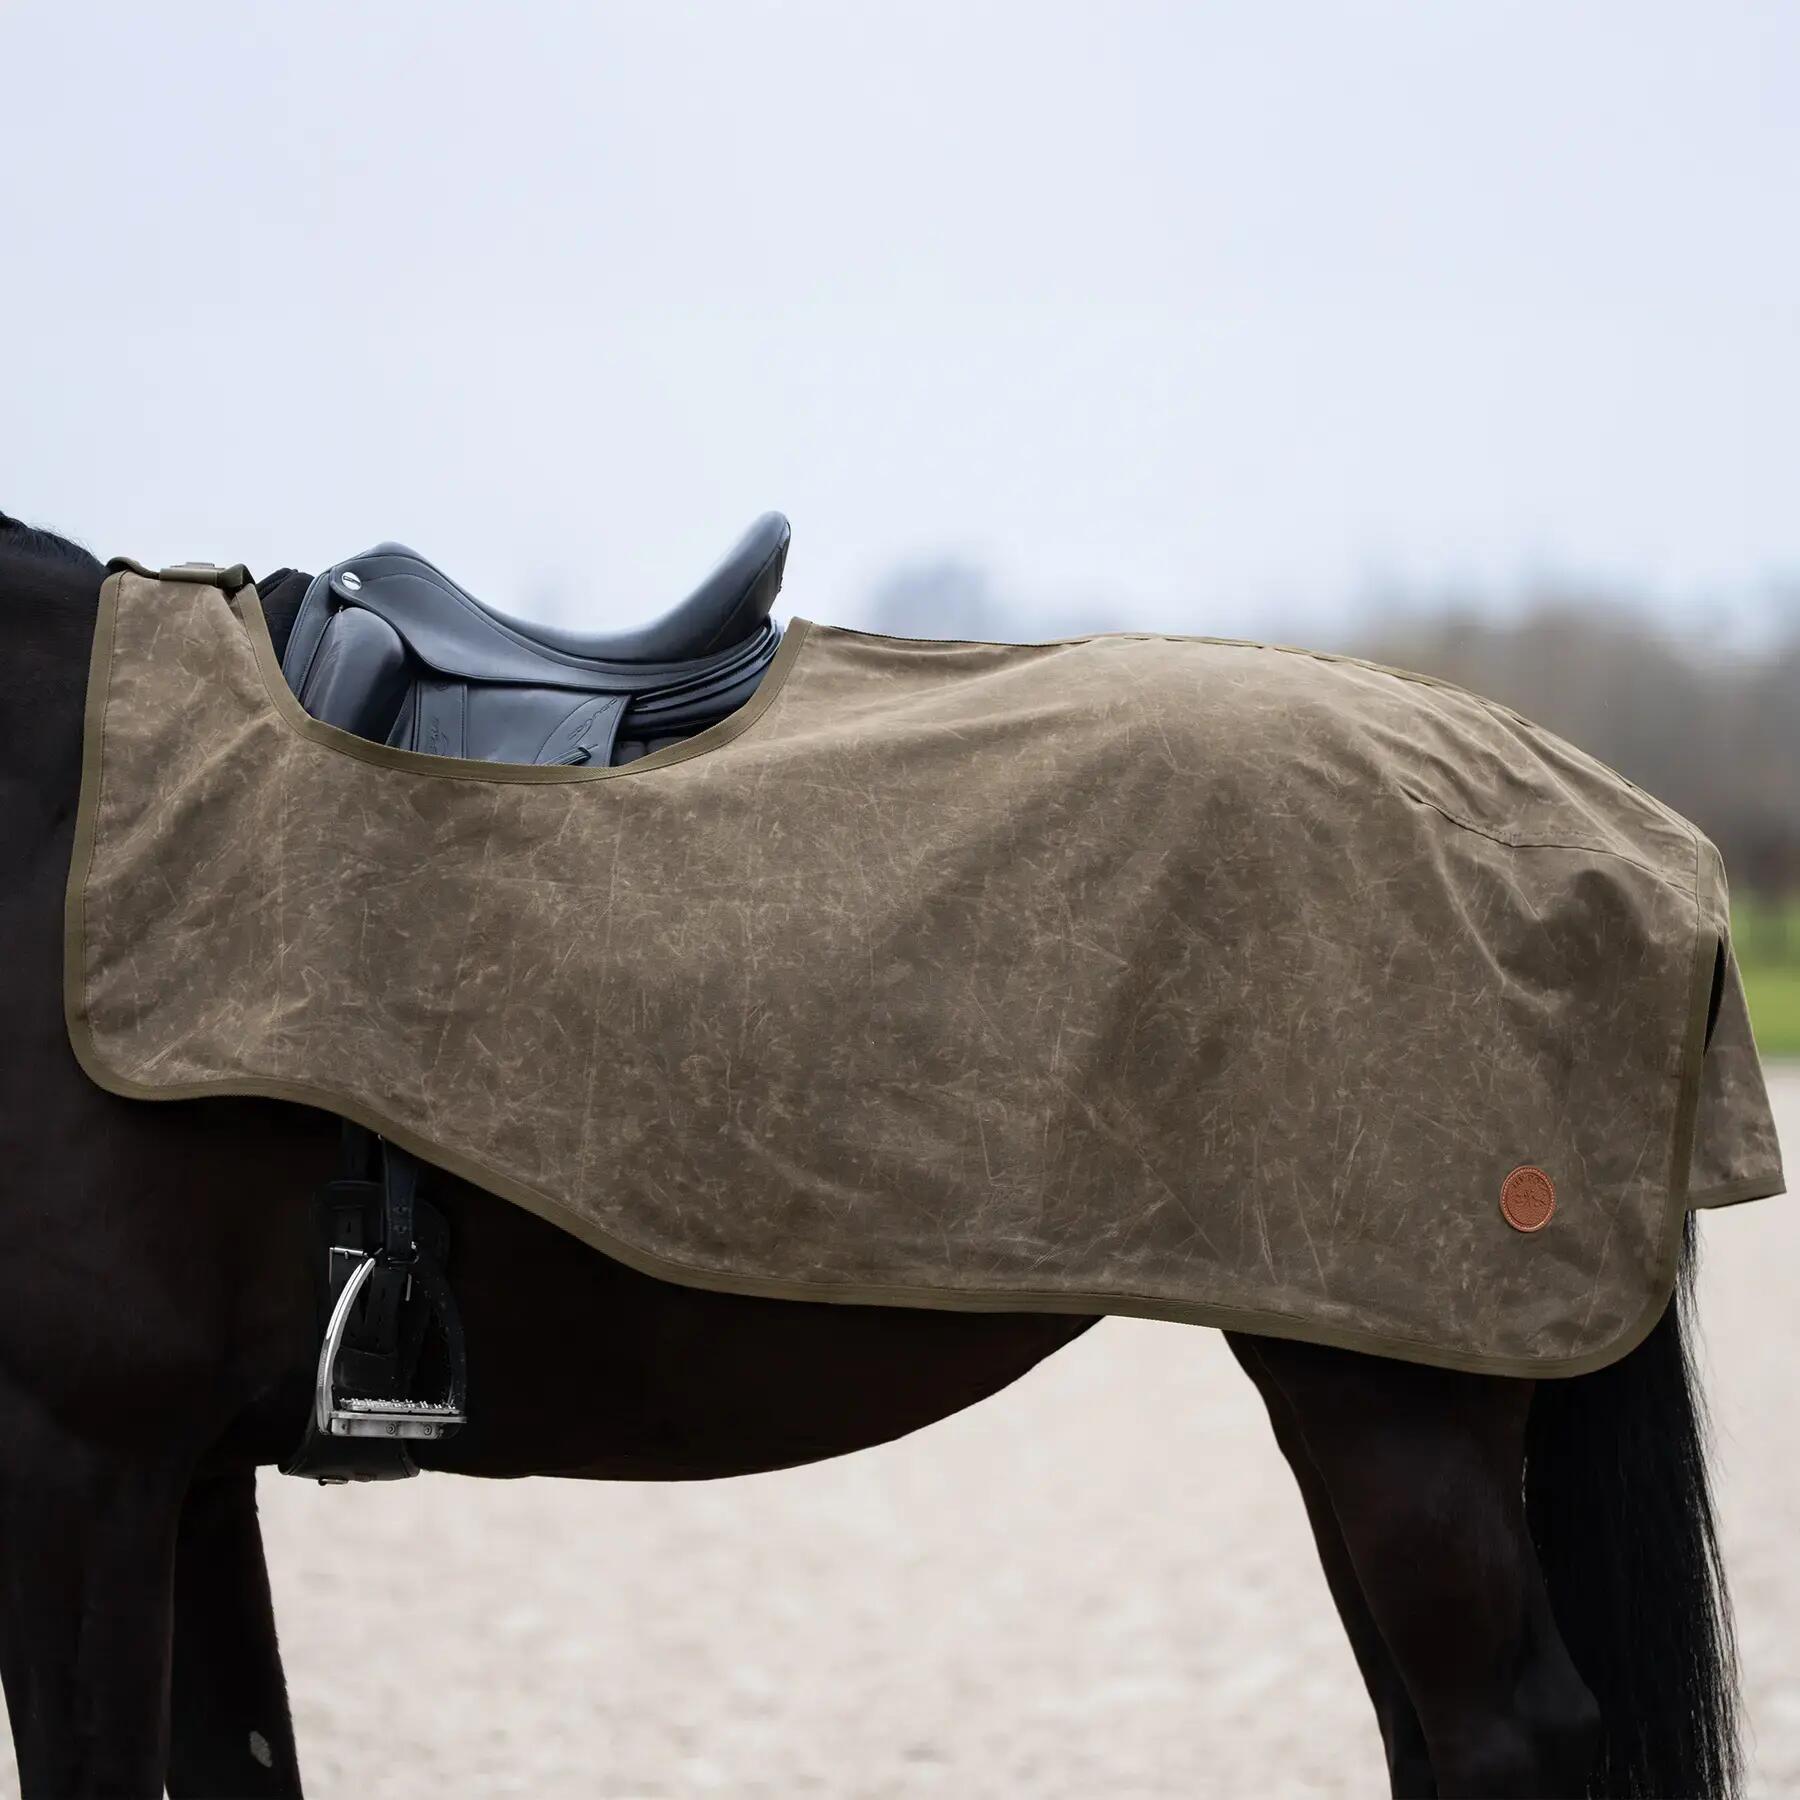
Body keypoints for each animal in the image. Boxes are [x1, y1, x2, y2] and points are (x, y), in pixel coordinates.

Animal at [0, 512, 1739, 1799]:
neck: (55, 808)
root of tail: (1630, 839)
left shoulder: (85, 1460)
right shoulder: (186, 1470)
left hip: (1398, 1406)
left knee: (1506, 1738)